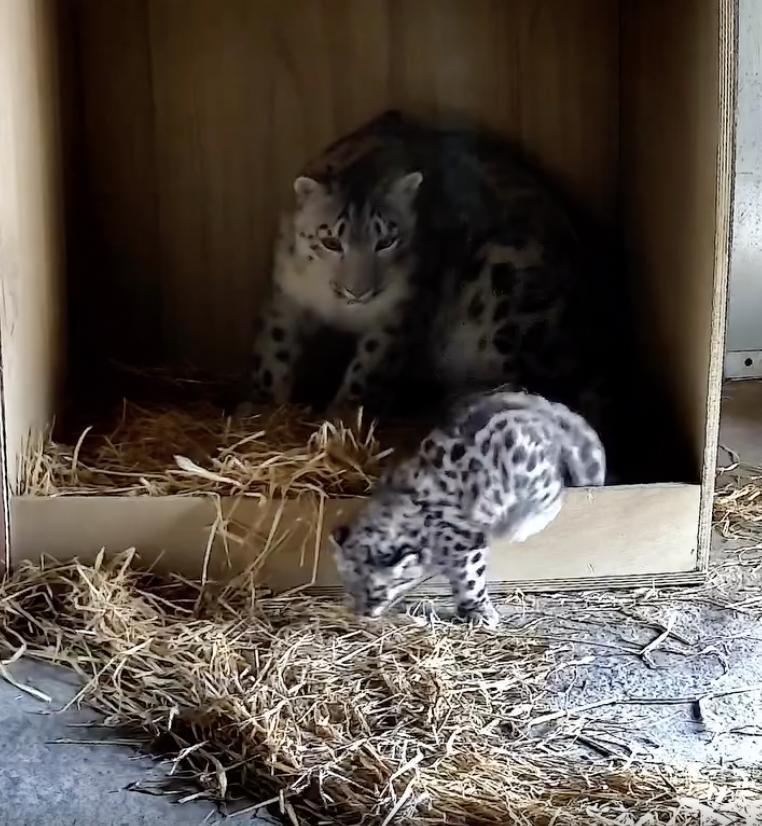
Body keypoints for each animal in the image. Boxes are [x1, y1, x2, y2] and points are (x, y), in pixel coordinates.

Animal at [236, 110, 607, 429]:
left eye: (387, 240)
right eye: (330, 241)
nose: (359, 291)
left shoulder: (402, 312)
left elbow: (371, 365)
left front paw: (342, 417)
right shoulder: (287, 294)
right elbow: (273, 349)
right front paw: (263, 410)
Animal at [329, 388, 606, 629]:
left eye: (375, 593)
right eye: (348, 585)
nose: (362, 614)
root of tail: (542, 409)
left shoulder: (464, 545)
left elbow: (470, 579)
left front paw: (478, 612)